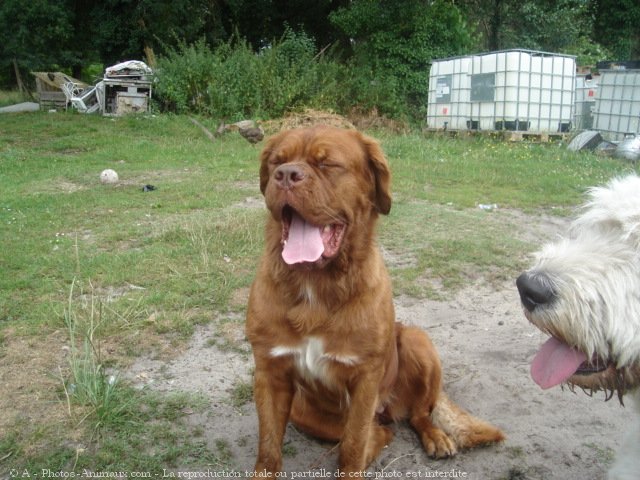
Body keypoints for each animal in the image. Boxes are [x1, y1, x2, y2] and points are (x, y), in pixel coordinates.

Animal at [245, 125, 504, 474]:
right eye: (276, 162)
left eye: (327, 164)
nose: (286, 175)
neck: (316, 285)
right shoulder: (270, 372)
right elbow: (269, 451)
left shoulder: (366, 378)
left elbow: (353, 445)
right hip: (304, 413)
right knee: (380, 430)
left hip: (417, 340)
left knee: (415, 415)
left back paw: (436, 437)